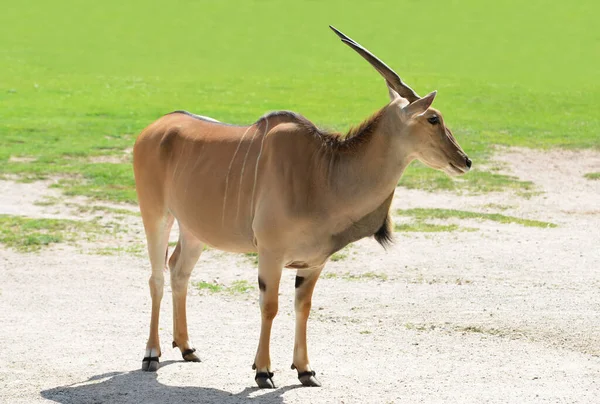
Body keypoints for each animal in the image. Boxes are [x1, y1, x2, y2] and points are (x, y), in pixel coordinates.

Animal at [134, 25, 472, 388]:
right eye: (433, 119)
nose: (465, 160)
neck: (323, 171)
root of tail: (154, 128)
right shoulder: (270, 253)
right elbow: (270, 306)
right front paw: (263, 371)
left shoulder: (313, 262)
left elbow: (303, 307)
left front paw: (306, 369)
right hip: (156, 216)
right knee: (156, 276)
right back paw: (151, 354)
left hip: (194, 230)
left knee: (179, 269)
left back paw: (186, 347)